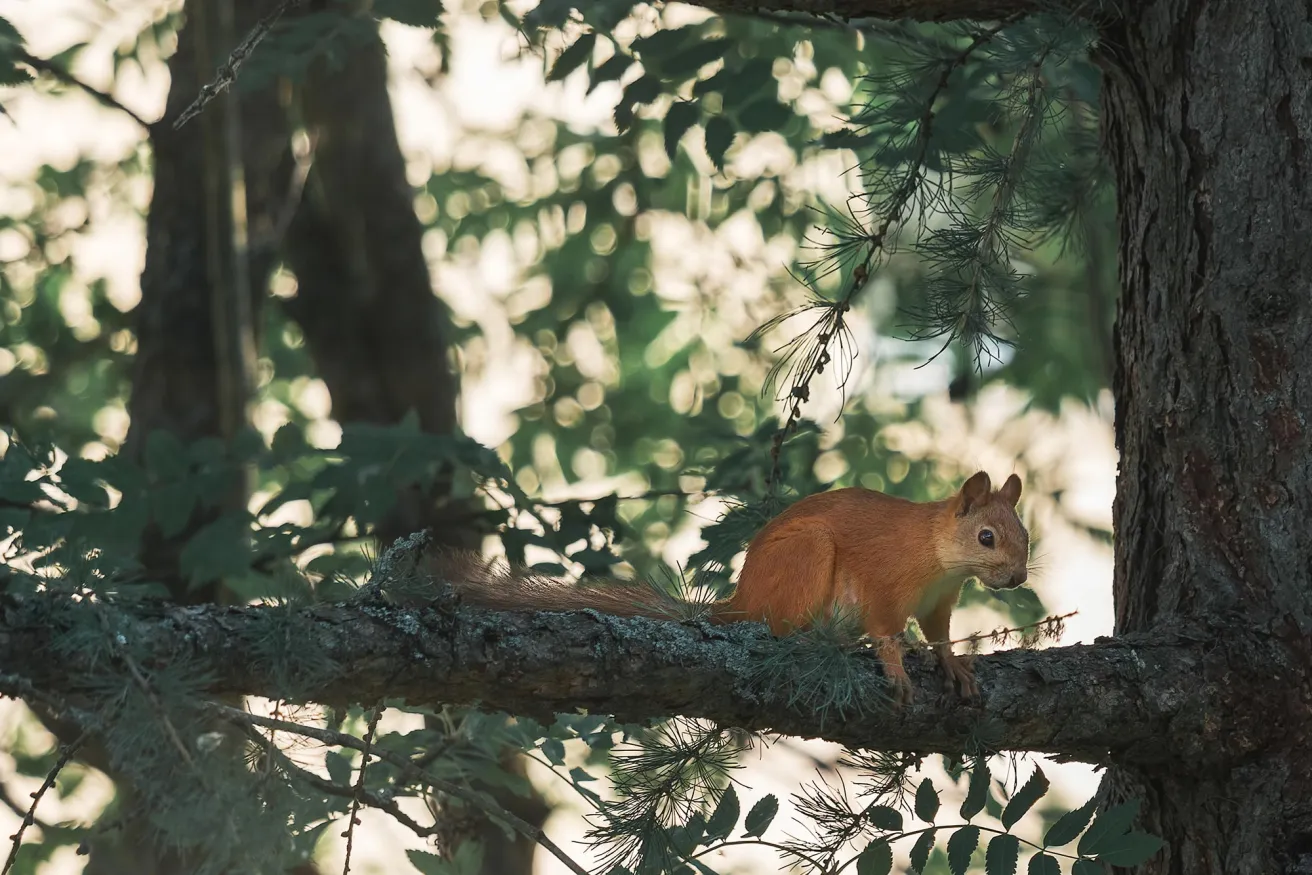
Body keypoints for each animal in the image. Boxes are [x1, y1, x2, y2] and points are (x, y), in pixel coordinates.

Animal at [430, 472, 1023, 703]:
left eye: (1026, 534)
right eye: (986, 537)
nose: (1017, 577)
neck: (939, 557)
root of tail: (742, 603)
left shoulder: (939, 602)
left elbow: (939, 634)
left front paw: (954, 666)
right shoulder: (885, 583)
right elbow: (885, 631)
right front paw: (898, 669)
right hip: (808, 558)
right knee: (781, 628)